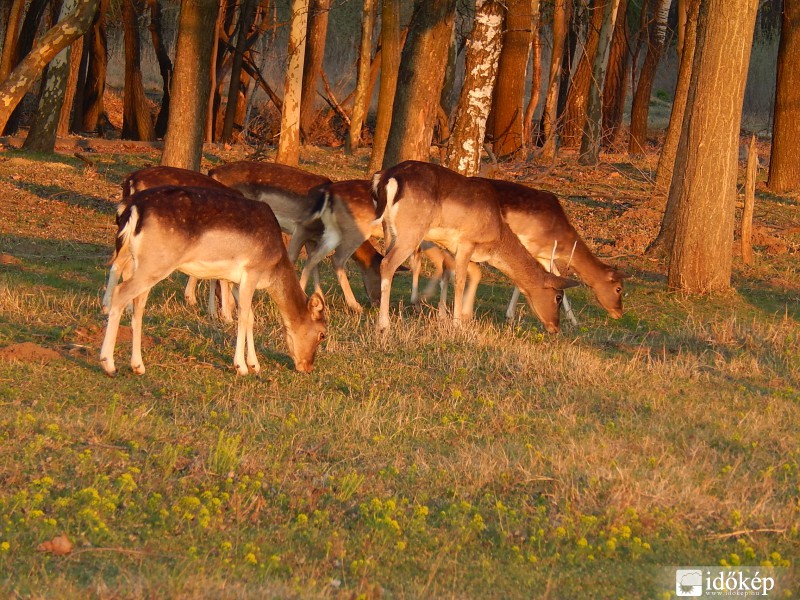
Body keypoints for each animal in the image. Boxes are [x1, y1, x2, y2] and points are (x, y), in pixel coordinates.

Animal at [101, 166, 238, 322]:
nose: (234, 310)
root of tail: (131, 181)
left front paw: (210, 311)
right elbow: (221, 279)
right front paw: (225, 316)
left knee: (118, 263)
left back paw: (107, 306)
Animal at [101, 186, 326, 376]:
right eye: (322, 334)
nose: (308, 367)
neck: (273, 266)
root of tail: (132, 207)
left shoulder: (234, 280)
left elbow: (251, 317)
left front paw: (255, 364)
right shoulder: (252, 270)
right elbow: (244, 315)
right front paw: (241, 366)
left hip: (140, 261)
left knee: (137, 301)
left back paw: (138, 366)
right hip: (156, 262)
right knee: (121, 293)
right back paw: (108, 364)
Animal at [206, 161, 382, 308]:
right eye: (379, 274)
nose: (377, 303)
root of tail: (212, 171)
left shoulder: (314, 238)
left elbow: (314, 263)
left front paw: (320, 300)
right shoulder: (302, 227)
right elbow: (292, 258)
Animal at [368, 161, 576, 332]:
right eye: (558, 297)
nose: (555, 328)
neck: (497, 235)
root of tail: (386, 177)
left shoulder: (451, 248)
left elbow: (460, 274)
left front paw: (456, 316)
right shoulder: (467, 242)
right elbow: (459, 280)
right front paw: (457, 323)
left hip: (389, 229)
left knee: (385, 259)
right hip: (411, 230)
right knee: (388, 263)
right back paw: (384, 324)